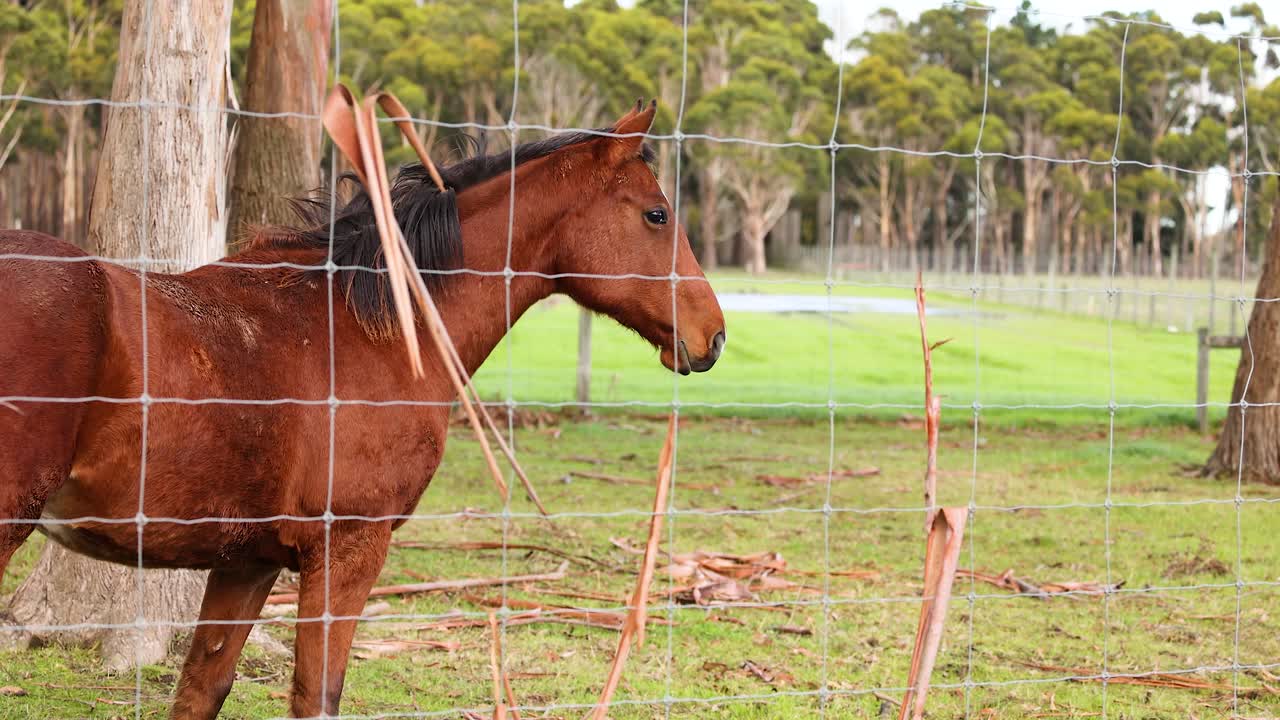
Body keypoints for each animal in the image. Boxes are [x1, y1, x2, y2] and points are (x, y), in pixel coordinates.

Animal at [0, 100, 726, 718]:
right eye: (656, 215)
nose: (712, 335)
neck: (366, 322)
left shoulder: (247, 561)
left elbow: (202, 687)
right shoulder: (350, 548)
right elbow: (316, 695)